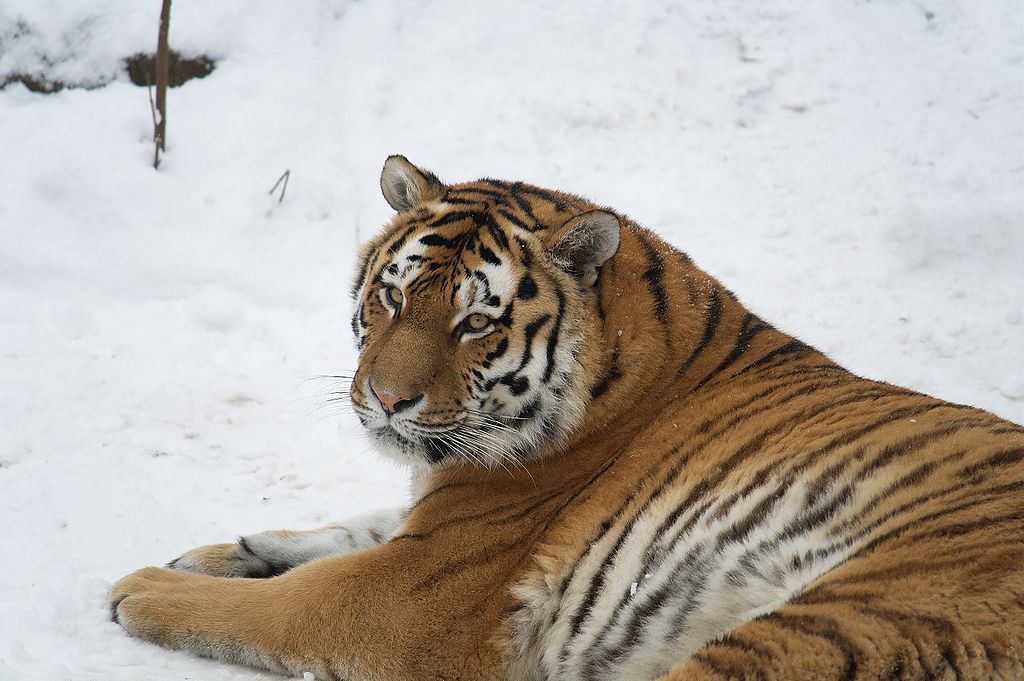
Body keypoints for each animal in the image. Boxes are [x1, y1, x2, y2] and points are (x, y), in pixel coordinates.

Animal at [112, 155, 1024, 679]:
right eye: (394, 297)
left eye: (475, 323)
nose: (387, 399)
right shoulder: (431, 519)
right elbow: (347, 526)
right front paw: (225, 550)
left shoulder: (414, 588)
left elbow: (287, 600)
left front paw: (146, 583)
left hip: (846, 617)